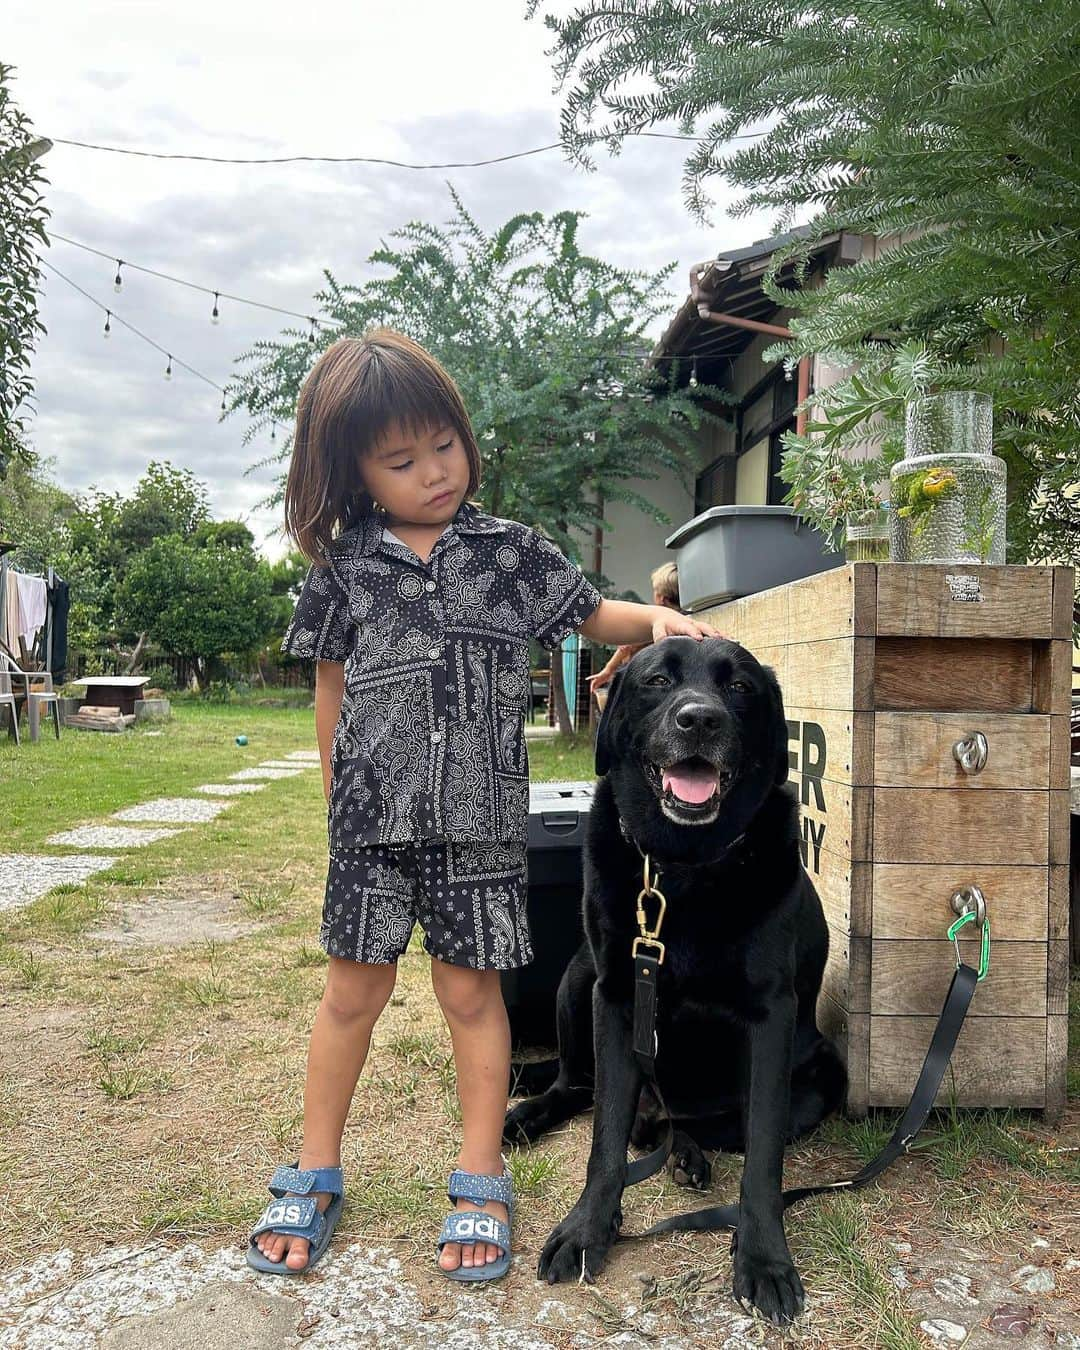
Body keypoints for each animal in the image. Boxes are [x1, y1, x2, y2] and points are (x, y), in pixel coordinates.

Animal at [502, 637, 847, 1323]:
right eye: (658, 680)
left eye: (739, 686)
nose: (700, 720)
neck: (683, 870)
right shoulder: (615, 993)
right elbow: (604, 1137)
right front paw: (588, 1229)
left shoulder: (770, 1017)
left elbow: (762, 1156)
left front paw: (763, 1259)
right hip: (576, 981)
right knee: (578, 1086)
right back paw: (529, 1114)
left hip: (825, 1074)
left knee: (684, 1125)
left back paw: (683, 1151)